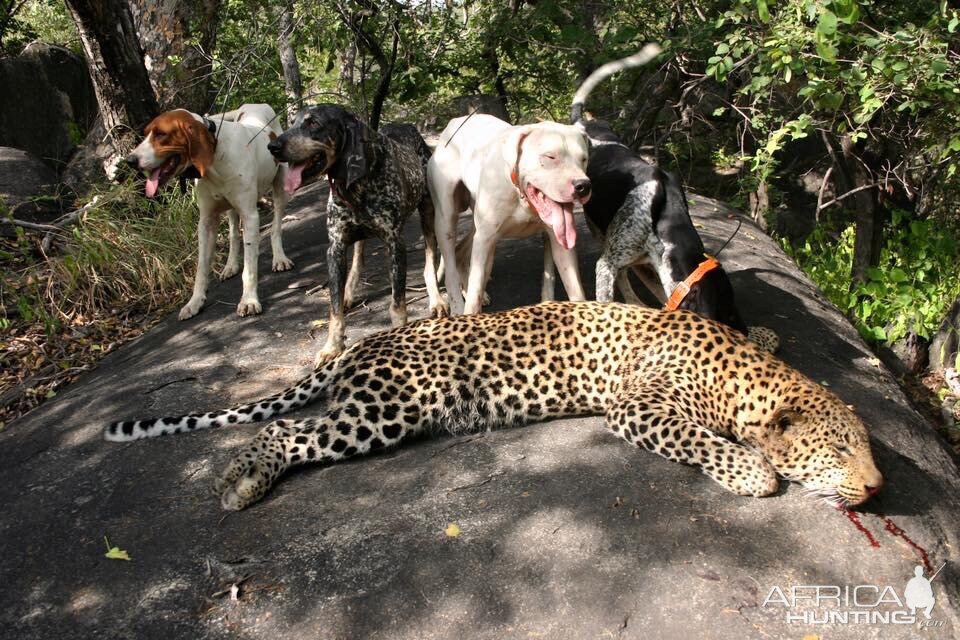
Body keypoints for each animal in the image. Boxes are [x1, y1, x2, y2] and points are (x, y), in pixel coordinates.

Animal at [103, 302, 876, 510]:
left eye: (867, 446)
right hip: (388, 406)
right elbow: (705, 441)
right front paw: (754, 473)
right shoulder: (638, 408)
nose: (876, 487)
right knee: (289, 430)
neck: (743, 378)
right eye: (839, 448)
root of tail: (366, 340)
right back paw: (240, 481)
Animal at [127, 104, 292, 320]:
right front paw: (195, 302)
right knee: (233, 234)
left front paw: (248, 300)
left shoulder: (250, 216)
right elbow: (201, 267)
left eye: (161, 134)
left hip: (281, 186)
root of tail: (254, 105)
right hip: (231, 209)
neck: (215, 155)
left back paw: (279, 258)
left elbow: (250, 267)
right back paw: (230, 265)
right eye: (146, 133)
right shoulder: (206, 222)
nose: (130, 160)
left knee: (276, 227)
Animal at [268, 104, 444, 364]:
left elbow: (397, 305)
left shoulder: (395, 244)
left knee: (430, 259)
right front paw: (332, 347)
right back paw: (349, 292)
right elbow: (334, 308)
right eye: (293, 123)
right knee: (358, 258)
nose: (273, 146)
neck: (354, 187)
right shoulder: (336, 248)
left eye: (313, 123)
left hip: (428, 213)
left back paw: (437, 299)